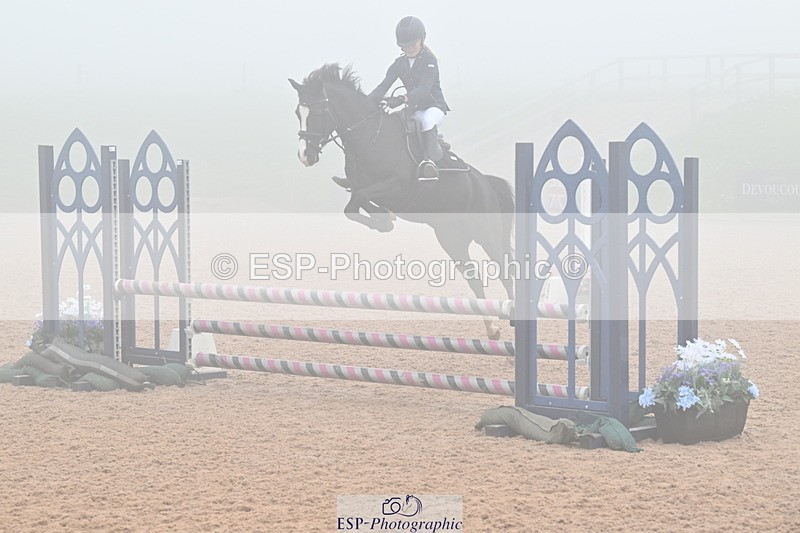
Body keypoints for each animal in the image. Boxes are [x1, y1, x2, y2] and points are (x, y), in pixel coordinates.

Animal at [289, 64, 514, 339]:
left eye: (319, 111)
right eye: (298, 112)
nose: (305, 155)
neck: (369, 136)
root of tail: (486, 183)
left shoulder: (396, 188)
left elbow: (359, 199)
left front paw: (385, 219)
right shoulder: (361, 188)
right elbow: (353, 205)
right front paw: (383, 219)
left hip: (487, 234)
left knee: (506, 271)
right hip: (452, 239)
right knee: (474, 277)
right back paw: (492, 328)